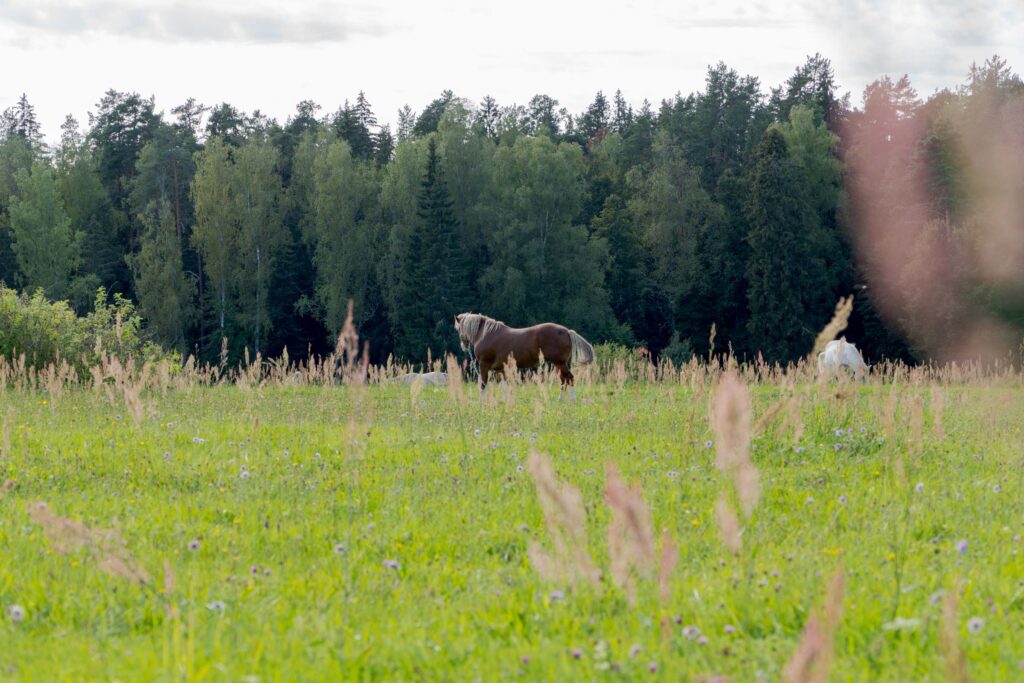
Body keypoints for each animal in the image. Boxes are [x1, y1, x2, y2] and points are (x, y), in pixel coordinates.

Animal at [453, 313, 594, 396]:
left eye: (457, 328)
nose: (463, 346)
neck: (486, 333)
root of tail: (567, 331)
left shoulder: (484, 365)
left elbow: (483, 384)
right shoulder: (501, 369)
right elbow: (504, 387)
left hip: (559, 363)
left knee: (568, 379)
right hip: (559, 364)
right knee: (564, 380)